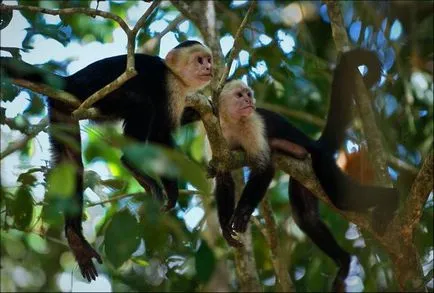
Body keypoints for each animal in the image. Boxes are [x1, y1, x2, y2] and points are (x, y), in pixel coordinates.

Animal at [0, 40, 214, 280]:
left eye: (208, 60)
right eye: (199, 60)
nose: (209, 67)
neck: (175, 76)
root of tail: (71, 80)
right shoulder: (169, 88)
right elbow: (160, 137)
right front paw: (170, 189)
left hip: (62, 108)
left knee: (71, 162)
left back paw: (75, 238)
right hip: (99, 96)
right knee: (142, 104)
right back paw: (131, 164)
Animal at [185, 48, 398, 290]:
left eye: (248, 94)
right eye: (240, 95)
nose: (249, 100)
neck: (231, 122)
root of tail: (316, 144)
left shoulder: (253, 124)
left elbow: (264, 167)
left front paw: (242, 213)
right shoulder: (214, 133)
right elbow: (224, 177)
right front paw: (224, 225)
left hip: (321, 161)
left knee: (341, 199)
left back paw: (392, 198)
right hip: (305, 176)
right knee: (305, 217)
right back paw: (344, 261)